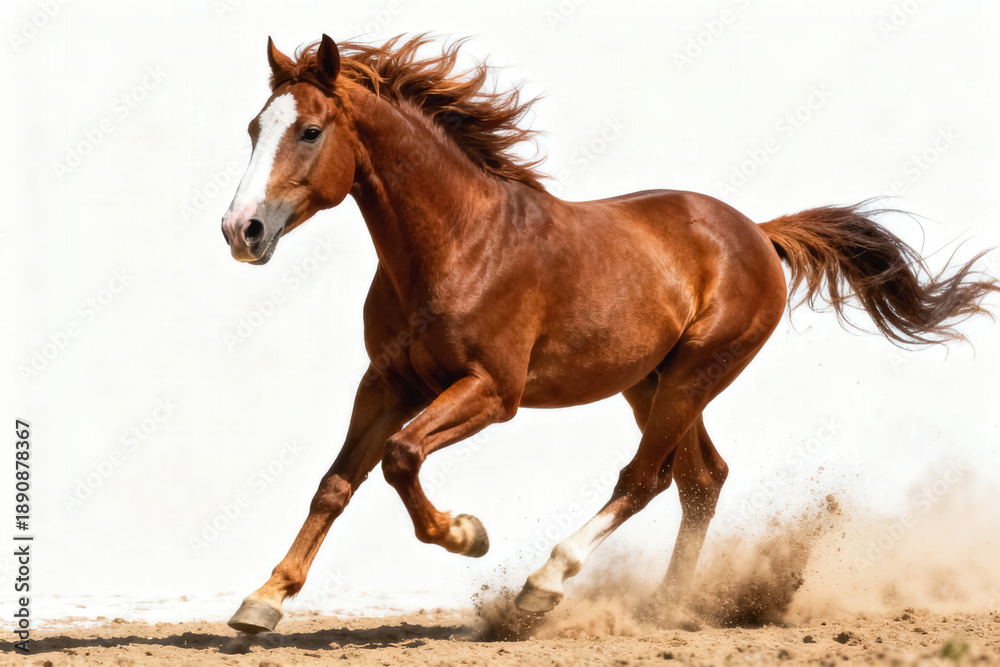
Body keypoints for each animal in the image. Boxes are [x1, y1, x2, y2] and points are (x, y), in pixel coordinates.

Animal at [219, 34, 998, 634]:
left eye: (310, 130)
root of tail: (757, 232)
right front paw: (263, 599)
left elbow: (401, 457)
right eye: (254, 128)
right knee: (701, 479)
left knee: (647, 477)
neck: (459, 244)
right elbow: (336, 482)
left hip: (694, 373)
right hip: (652, 381)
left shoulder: (491, 391)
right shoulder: (385, 382)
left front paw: (468, 534)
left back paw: (544, 585)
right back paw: (666, 606)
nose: (241, 230)